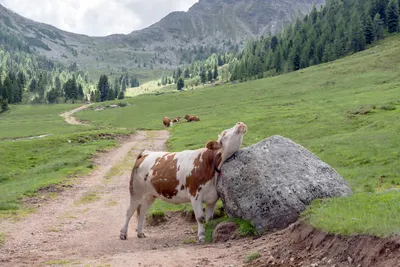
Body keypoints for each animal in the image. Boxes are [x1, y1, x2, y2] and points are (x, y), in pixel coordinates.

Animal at [119, 122, 247, 244]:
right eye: (225, 133)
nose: (239, 123)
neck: (209, 165)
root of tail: (146, 153)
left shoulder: (213, 198)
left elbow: (209, 218)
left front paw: (207, 232)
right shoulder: (195, 195)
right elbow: (200, 217)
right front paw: (201, 237)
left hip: (150, 195)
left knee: (142, 210)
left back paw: (140, 233)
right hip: (136, 191)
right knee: (130, 211)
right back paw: (123, 234)